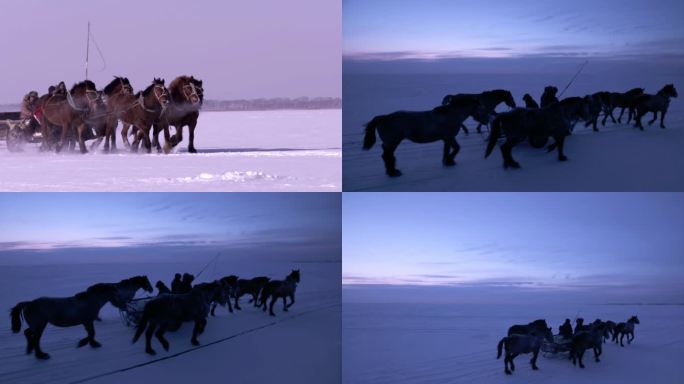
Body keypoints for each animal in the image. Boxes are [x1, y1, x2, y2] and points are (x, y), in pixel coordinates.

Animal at [364, 99, 492, 177]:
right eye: (482, 109)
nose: (487, 120)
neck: (452, 115)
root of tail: (383, 118)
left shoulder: (446, 139)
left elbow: (446, 150)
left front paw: (447, 162)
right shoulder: (450, 137)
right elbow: (457, 148)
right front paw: (450, 160)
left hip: (392, 142)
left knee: (387, 155)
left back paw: (390, 171)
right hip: (393, 142)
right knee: (387, 155)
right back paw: (393, 172)